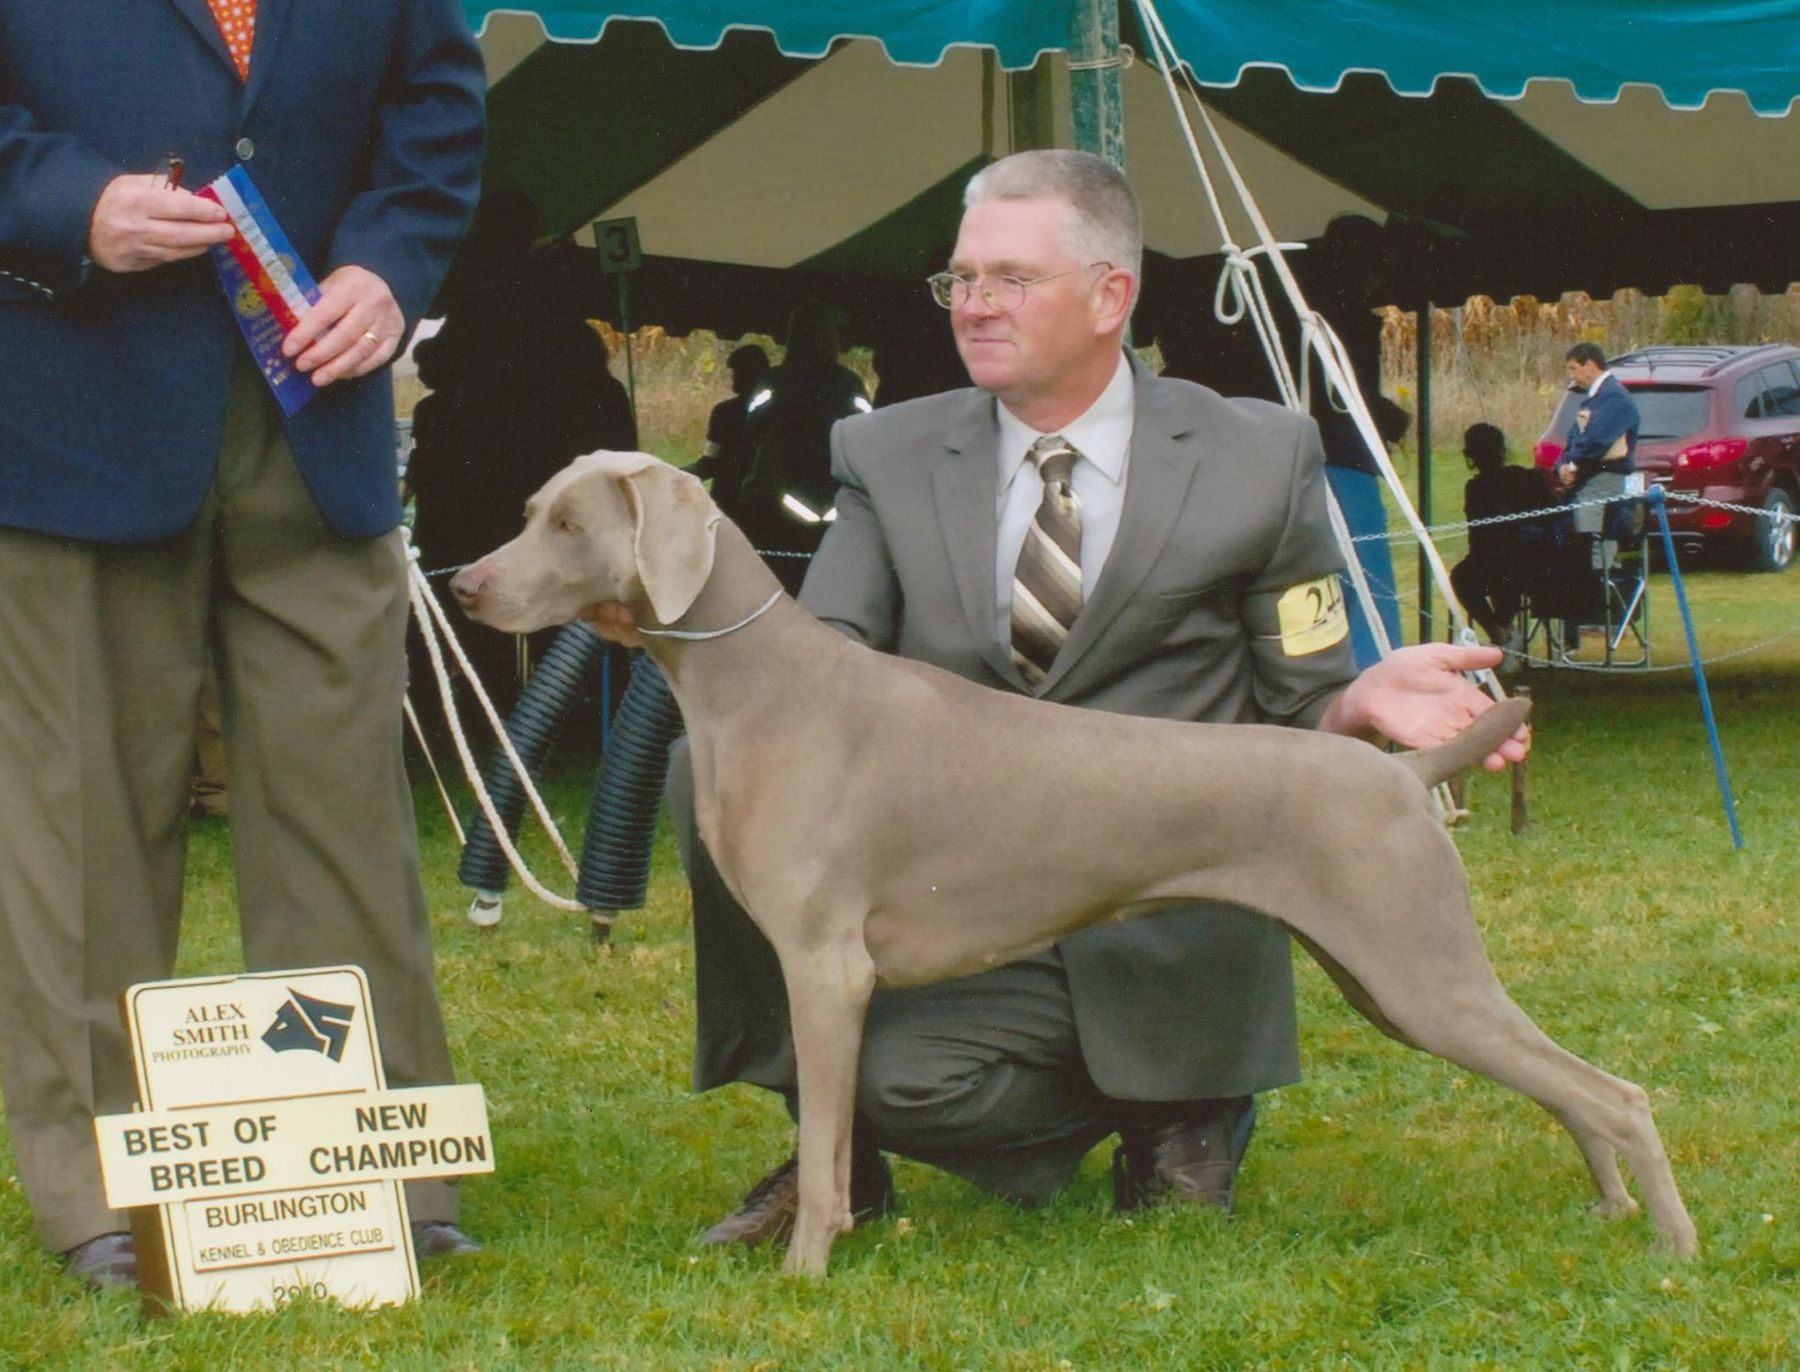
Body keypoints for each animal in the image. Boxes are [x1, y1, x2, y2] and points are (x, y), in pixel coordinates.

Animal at [453, 448, 1699, 1274]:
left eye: (567, 525)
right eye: (528, 511)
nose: (465, 583)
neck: (759, 684)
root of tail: (1403, 771)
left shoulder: (826, 965)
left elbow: (823, 1145)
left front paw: (806, 1271)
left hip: (1416, 966)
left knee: (1619, 1093)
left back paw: (1674, 1248)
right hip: (1392, 982)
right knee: (1572, 1094)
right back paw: (1611, 1215)